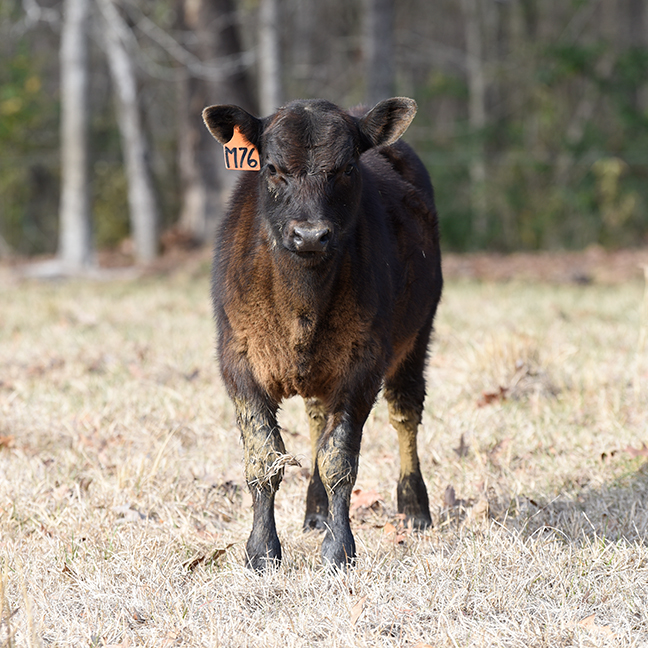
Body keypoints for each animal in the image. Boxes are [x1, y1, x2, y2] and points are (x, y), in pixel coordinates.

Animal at [202, 97, 442, 571]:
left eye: (348, 167)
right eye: (272, 167)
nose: (310, 234)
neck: (301, 308)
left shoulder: (363, 363)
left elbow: (339, 459)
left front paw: (339, 549)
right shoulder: (238, 359)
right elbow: (264, 457)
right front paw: (262, 551)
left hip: (417, 335)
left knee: (405, 413)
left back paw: (413, 508)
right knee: (316, 418)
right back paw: (315, 512)